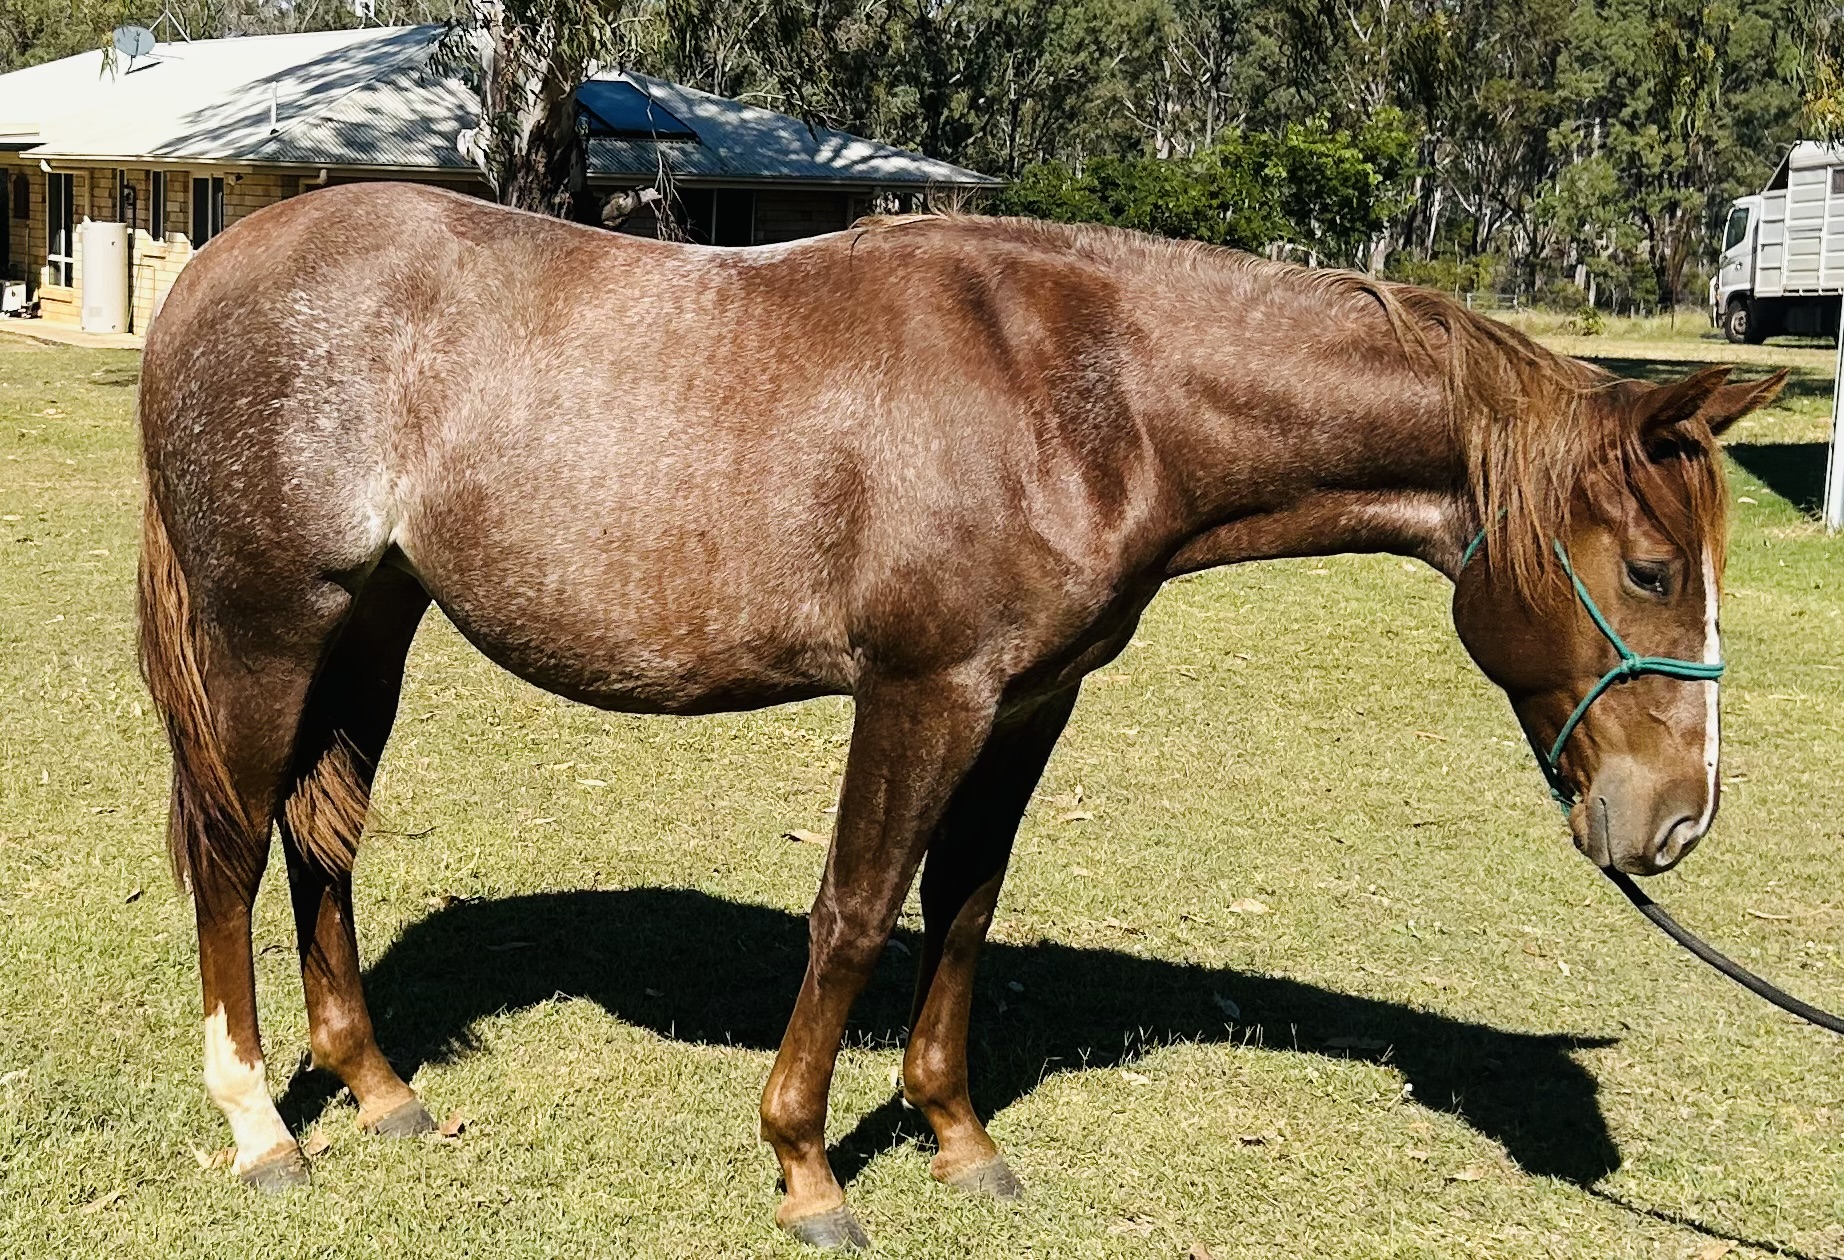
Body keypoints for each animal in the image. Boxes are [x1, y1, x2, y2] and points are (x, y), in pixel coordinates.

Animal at [136, 182, 1784, 1249]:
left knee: (324, 842)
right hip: (272, 627)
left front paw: (956, 1138)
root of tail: (215, 270)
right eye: (1650, 569)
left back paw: (378, 1091)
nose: (1677, 820)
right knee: (231, 847)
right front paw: (807, 1170)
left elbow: (965, 910)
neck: (1083, 391)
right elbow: (858, 909)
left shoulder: (1028, 702)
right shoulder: (920, 693)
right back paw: (261, 1128)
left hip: (373, 623)